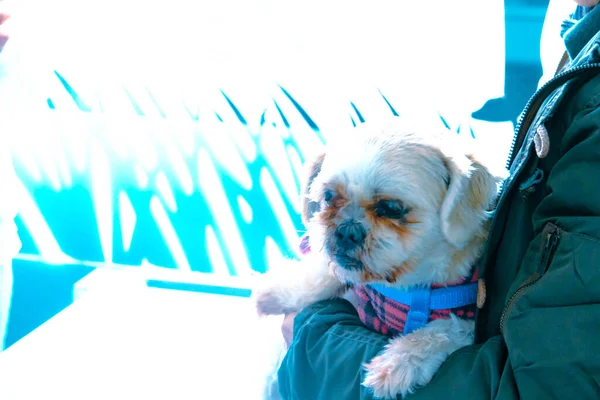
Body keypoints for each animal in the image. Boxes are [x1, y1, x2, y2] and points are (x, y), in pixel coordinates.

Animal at [255, 117, 500, 398]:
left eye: (392, 208)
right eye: (328, 197)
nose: (346, 231)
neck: (410, 287)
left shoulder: (470, 321)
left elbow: (446, 329)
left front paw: (398, 363)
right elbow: (324, 274)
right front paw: (277, 290)